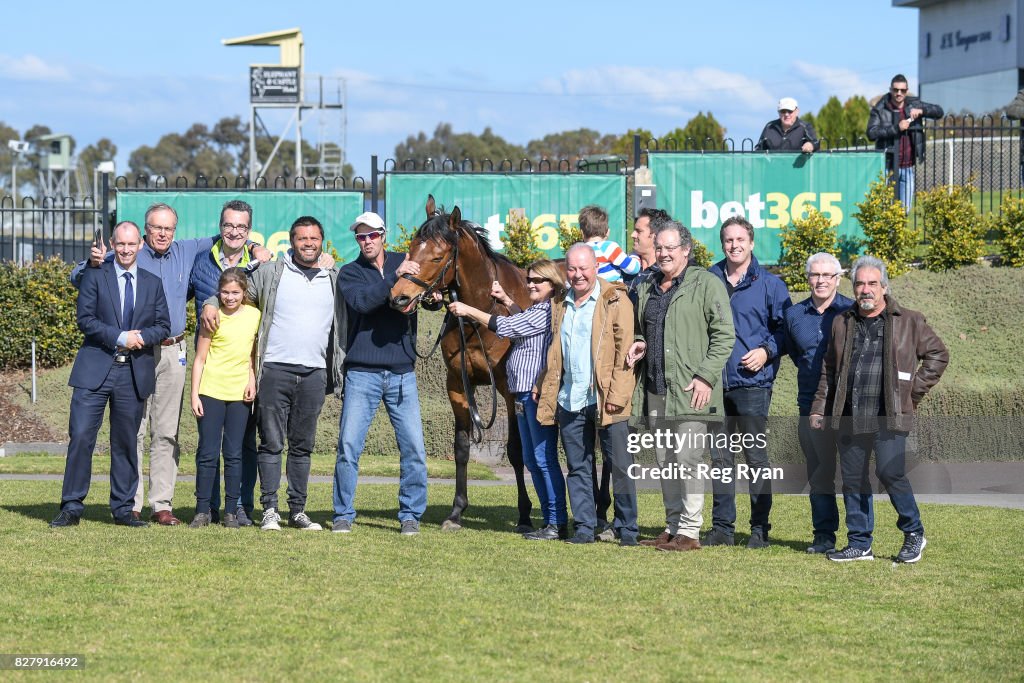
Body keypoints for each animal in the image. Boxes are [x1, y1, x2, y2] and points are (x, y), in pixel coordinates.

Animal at [387, 197, 536, 532]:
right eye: (411, 248)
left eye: (437, 256)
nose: (399, 298)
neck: (479, 316)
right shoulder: (457, 385)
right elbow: (462, 448)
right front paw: (456, 512)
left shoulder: (509, 392)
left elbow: (516, 450)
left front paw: (524, 514)